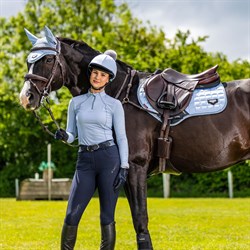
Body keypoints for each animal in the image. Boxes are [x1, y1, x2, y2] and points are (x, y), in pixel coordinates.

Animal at [19, 27, 250, 250]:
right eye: (29, 61)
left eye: (48, 60)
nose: (26, 97)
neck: (120, 94)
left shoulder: (134, 167)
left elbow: (140, 220)